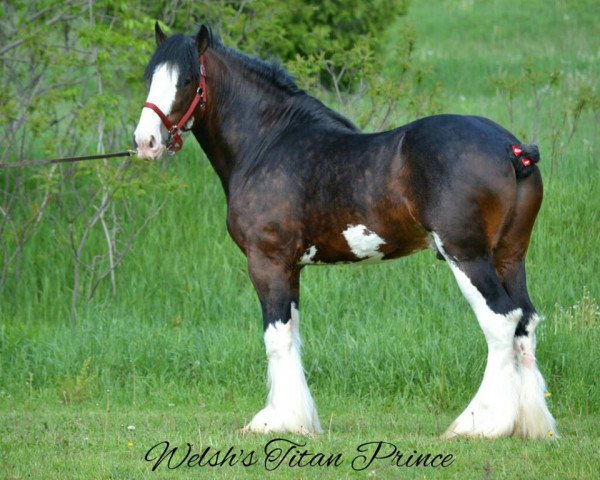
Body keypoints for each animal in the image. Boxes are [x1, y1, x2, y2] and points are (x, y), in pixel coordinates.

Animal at [134, 23, 556, 438]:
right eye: (150, 76)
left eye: (187, 79)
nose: (145, 142)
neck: (268, 143)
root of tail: (511, 148)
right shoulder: (291, 267)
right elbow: (292, 334)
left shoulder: (267, 261)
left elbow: (276, 338)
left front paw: (277, 420)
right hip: (509, 256)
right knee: (525, 322)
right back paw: (530, 424)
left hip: (467, 256)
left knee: (501, 322)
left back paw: (478, 423)